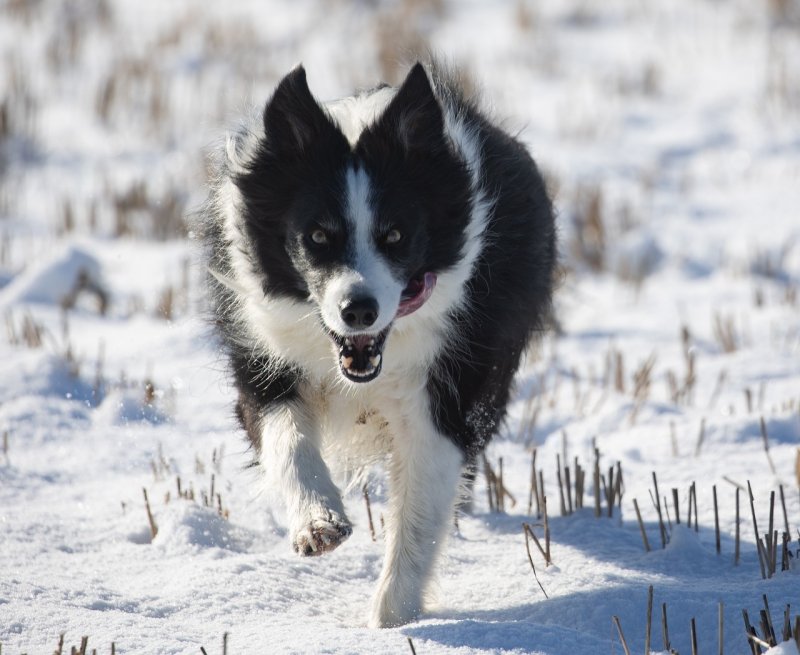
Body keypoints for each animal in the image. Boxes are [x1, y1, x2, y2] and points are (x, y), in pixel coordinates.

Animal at [200, 62, 556, 632]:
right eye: (317, 236)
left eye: (395, 235)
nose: (358, 310)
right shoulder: (262, 361)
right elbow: (286, 438)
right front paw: (318, 523)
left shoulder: (448, 394)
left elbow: (420, 511)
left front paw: (392, 621)